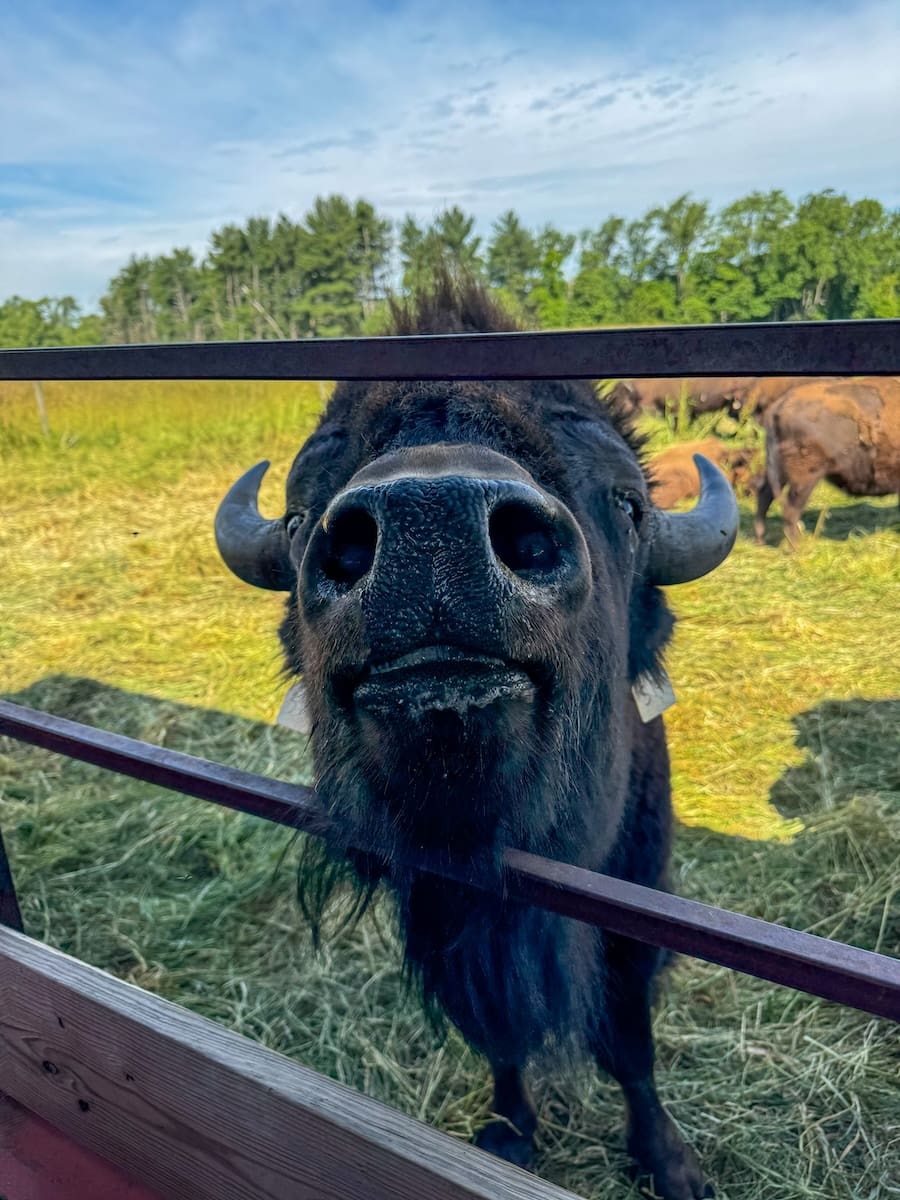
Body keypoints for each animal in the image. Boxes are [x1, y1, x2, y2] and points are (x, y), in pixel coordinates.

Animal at [214, 276, 734, 1195]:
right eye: (298, 517)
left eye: (628, 503)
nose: (432, 524)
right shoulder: (450, 922)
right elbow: (499, 1038)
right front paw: (508, 1135)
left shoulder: (636, 905)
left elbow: (630, 1042)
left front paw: (671, 1163)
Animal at [753, 376, 900, 547]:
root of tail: (778, 407)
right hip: (805, 477)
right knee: (790, 508)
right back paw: (797, 548)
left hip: (779, 471)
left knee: (765, 495)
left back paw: (761, 541)